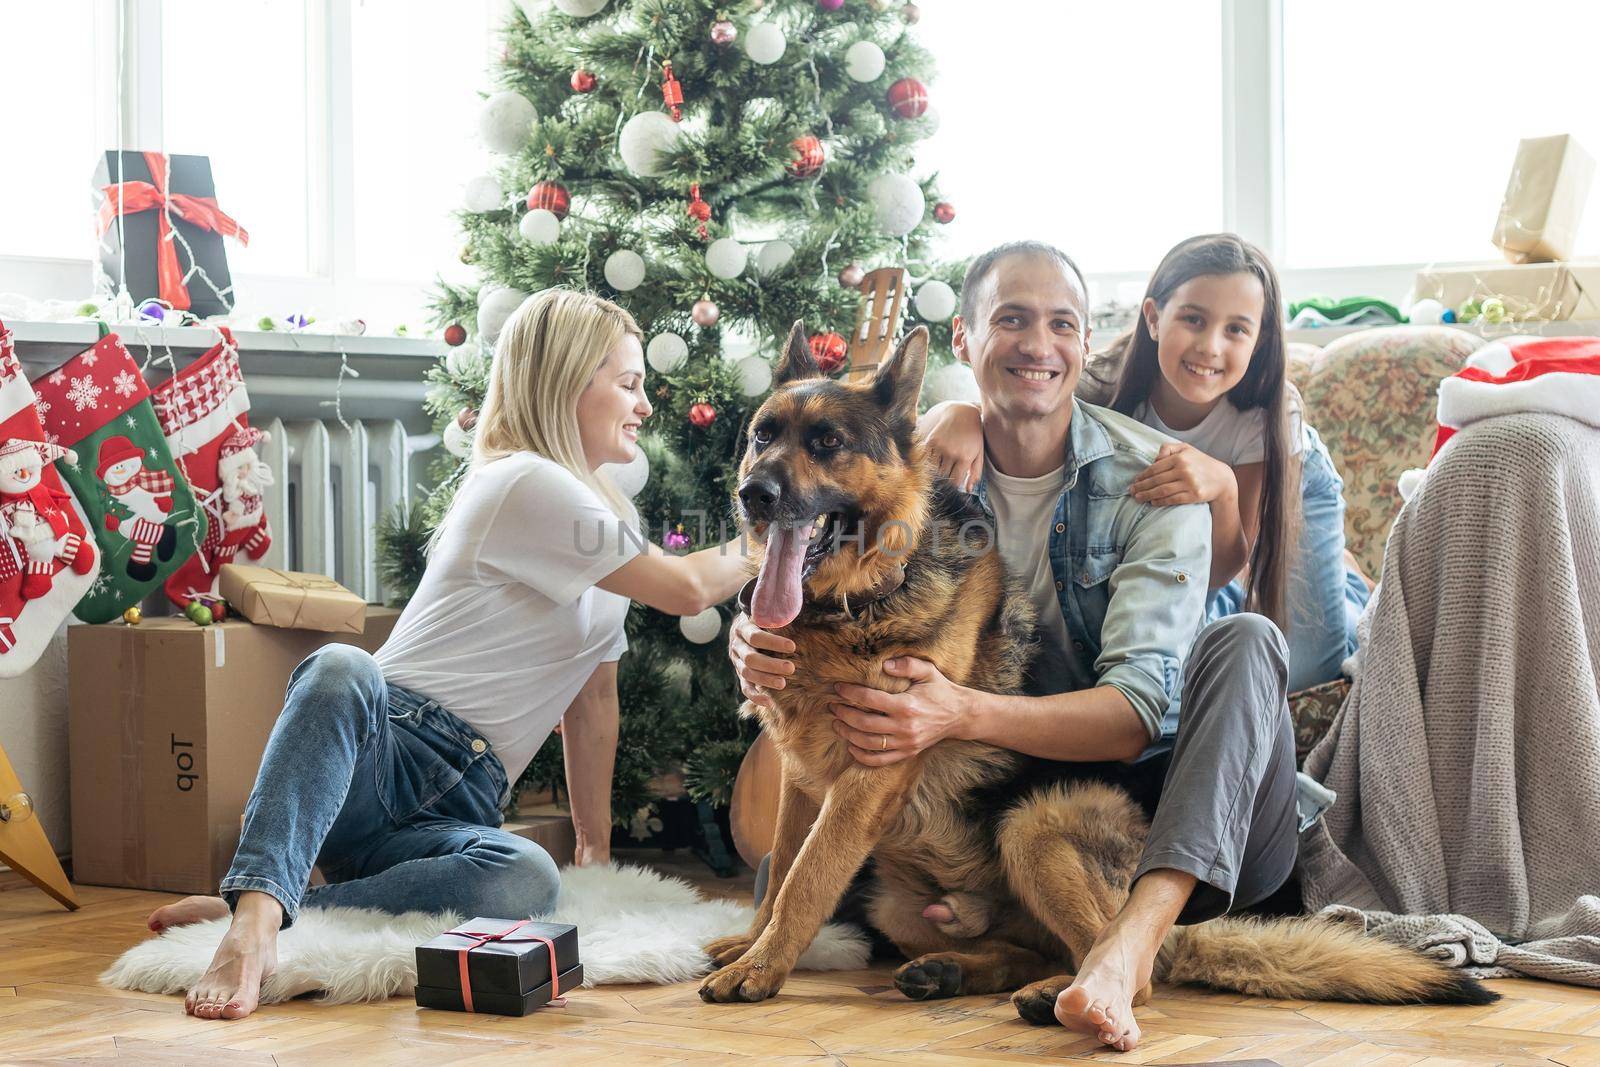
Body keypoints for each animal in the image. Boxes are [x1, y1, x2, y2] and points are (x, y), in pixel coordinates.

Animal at [700, 323, 1497, 1017]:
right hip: (900, 897)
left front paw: (761, 969)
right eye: (762, 435)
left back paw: (1072, 995)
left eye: (828, 443)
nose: (753, 494)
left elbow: (806, 879)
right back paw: (957, 970)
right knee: (1032, 946)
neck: (859, 601)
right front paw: (752, 946)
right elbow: (782, 867)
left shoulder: (870, 773)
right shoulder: (803, 776)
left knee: (1132, 967)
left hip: (1034, 822)